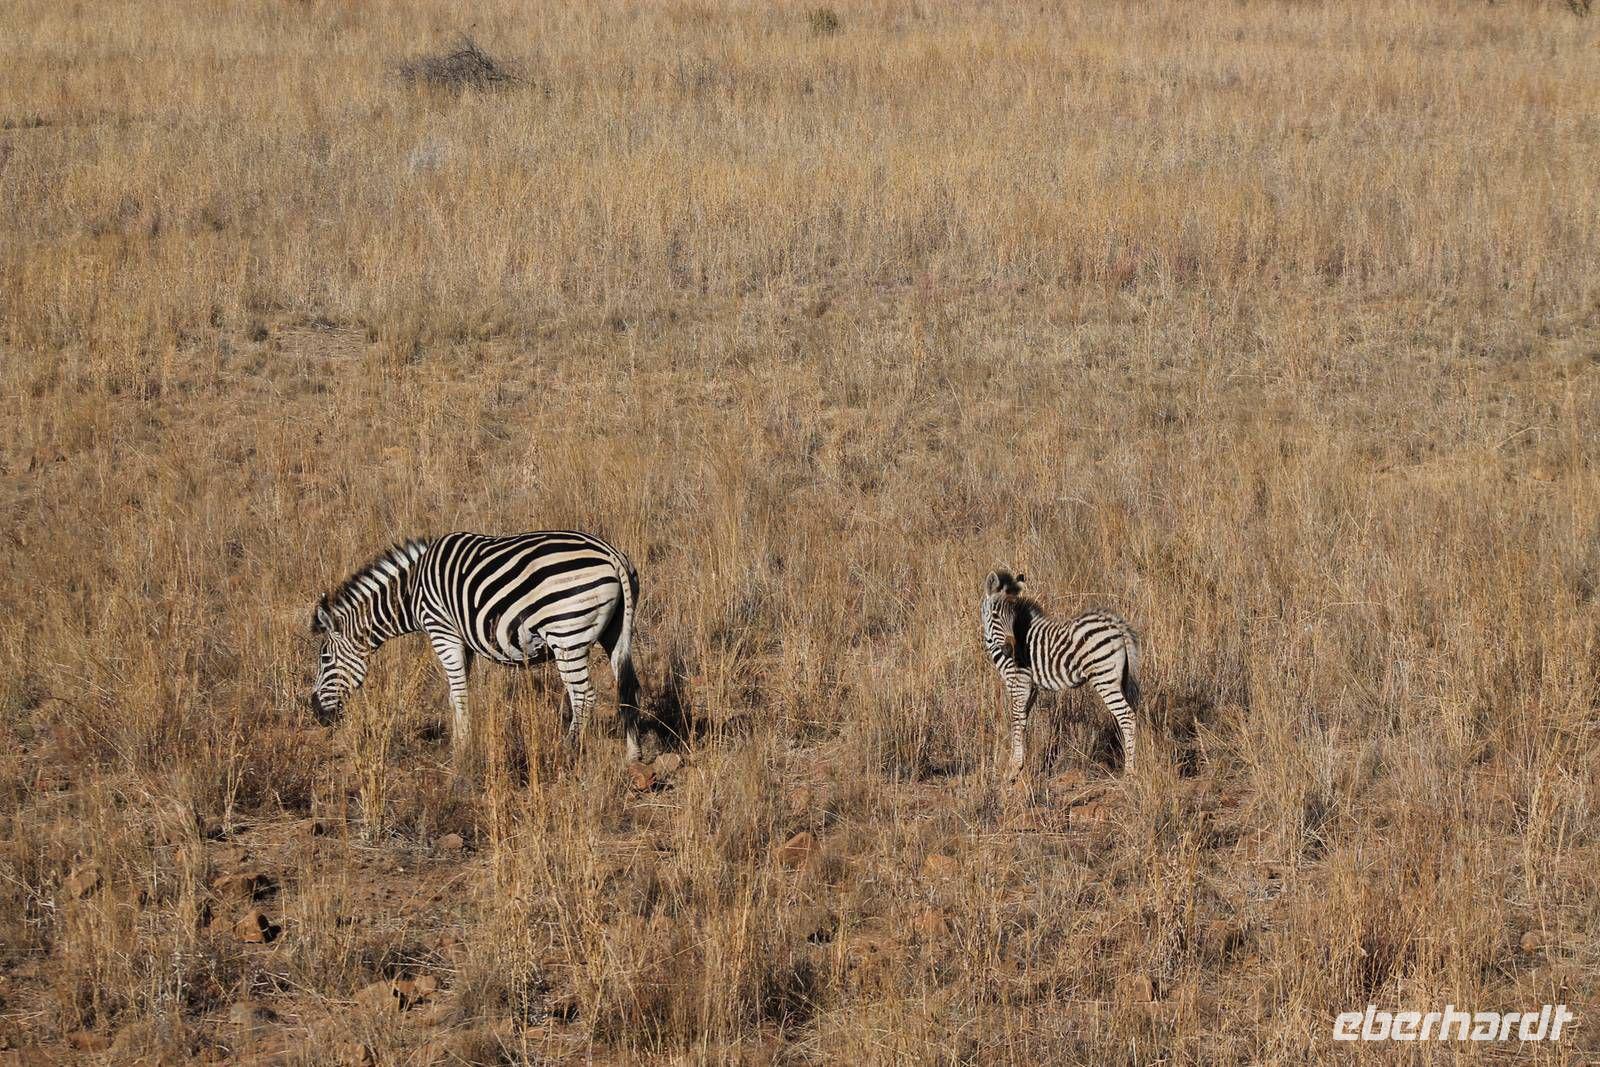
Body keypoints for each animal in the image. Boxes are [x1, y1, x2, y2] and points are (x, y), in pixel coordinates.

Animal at [309, 530, 643, 763]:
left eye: (324, 658)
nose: (315, 712)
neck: (411, 591)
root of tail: (612, 554)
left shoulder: (442, 630)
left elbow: (457, 692)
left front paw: (461, 750)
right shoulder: (462, 639)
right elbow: (458, 692)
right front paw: (461, 741)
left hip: (566, 634)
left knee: (584, 696)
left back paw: (567, 751)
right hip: (614, 632)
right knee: (626, 689)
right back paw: (633, 755)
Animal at [980, 569, 1141, 779]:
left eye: (1013, 618)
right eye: (995, 615)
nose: (1010, 650)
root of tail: (1116, 625)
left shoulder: (1018, 682)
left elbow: (1016, 720)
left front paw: (1013, 769)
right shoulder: (1031, 687)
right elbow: (1023, 721)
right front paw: (1020, 765)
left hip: (1104, 678)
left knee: (1127, 717)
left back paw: (1129, 772)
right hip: (1118, 678)